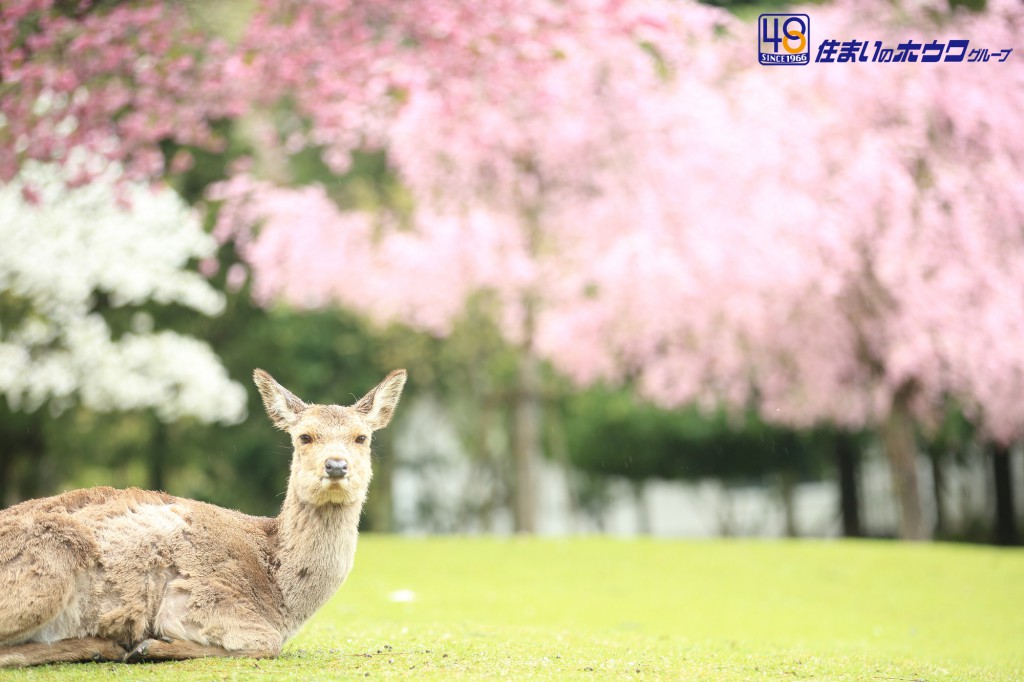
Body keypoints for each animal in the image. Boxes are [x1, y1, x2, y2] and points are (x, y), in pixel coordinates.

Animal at [0, 366, 405, 663]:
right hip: (51, 565)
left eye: (362, 437)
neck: (283, 600)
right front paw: (148, 645)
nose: (336, 466)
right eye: (304, 436)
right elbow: (266, 643)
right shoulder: (198, 595)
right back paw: (107, 647)